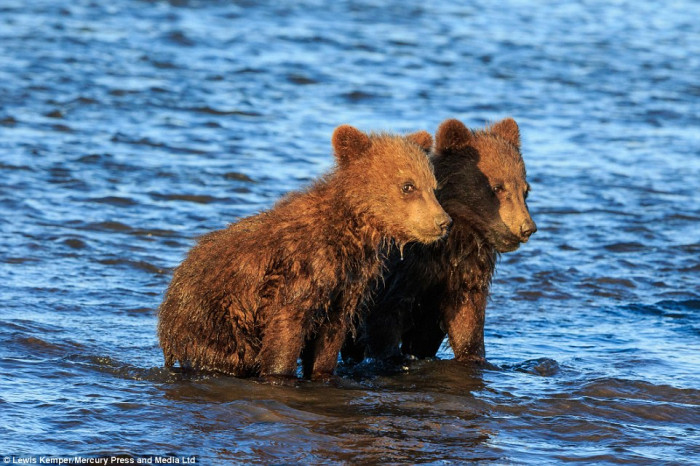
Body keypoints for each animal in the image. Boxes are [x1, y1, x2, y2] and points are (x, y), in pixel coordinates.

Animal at [157, 125, 452, 382]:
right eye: (408, 185)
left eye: (433, 186)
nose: (443, 222)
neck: (351, 230)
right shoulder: (299, 274)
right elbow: (286, 329)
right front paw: (281, 374)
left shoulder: (345, 285)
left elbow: (330, 338)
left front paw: (322, 372)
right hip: (217, 321)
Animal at [342, 118, 536, 364]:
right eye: (497, 187)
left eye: (525, 190)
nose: (527, 228)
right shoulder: (401, 278)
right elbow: (383, 323)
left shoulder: (463, 277)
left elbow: (467, 324)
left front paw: (473, 356)